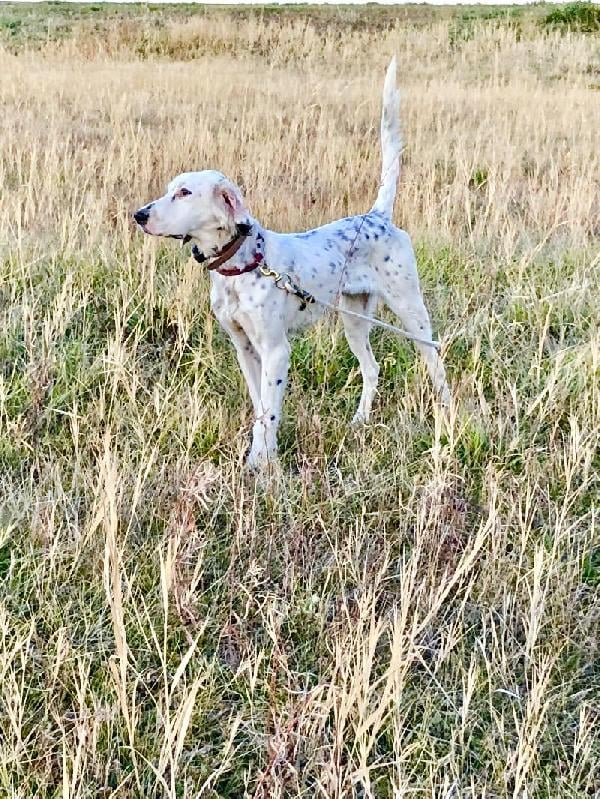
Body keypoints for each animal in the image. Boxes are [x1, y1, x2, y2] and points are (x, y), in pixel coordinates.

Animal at [132, 59, 450, 468]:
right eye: (171, 188)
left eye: (184, 192)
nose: (139, 215)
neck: (243, 267)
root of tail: (377, 216)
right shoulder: (244, 347)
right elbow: (260, 408)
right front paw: (264, 455)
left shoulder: (275, 350)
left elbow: (268, 413)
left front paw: (262, 465)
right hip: (354, 318)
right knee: (371, 368)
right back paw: (360, 421)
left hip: (411, 310)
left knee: (435, 360)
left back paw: (447, 413)